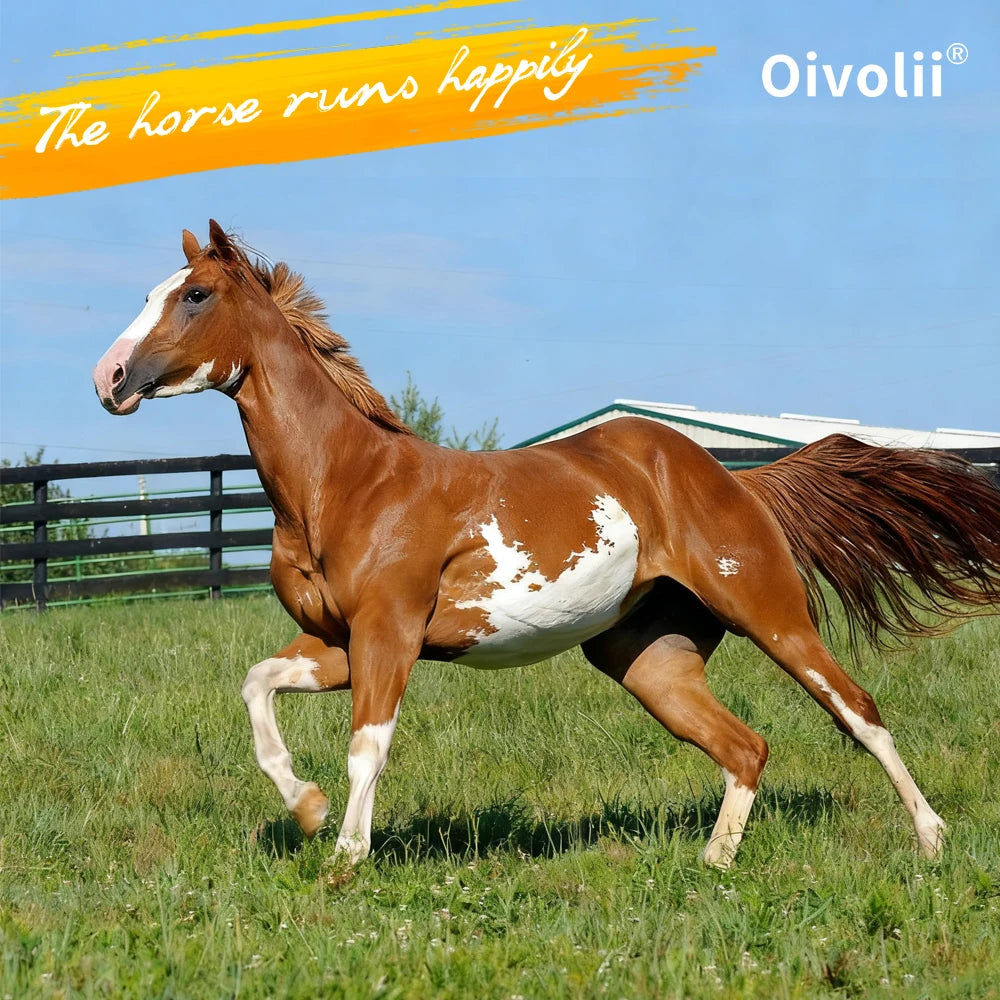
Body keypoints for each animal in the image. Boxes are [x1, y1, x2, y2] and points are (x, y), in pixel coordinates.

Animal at [92, 221, 1000, 869]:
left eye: (196, 294)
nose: (108, 379)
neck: (349, 483)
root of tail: (737, 480)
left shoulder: (389, 635)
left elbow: (366, 747)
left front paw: (347, 858)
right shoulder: (337, 641)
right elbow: (258, 688)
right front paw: (308, 808)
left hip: (769, 612)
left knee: (858, 712)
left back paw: (930, 841)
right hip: (649, 657)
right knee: (745, 747)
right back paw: (714, 862)